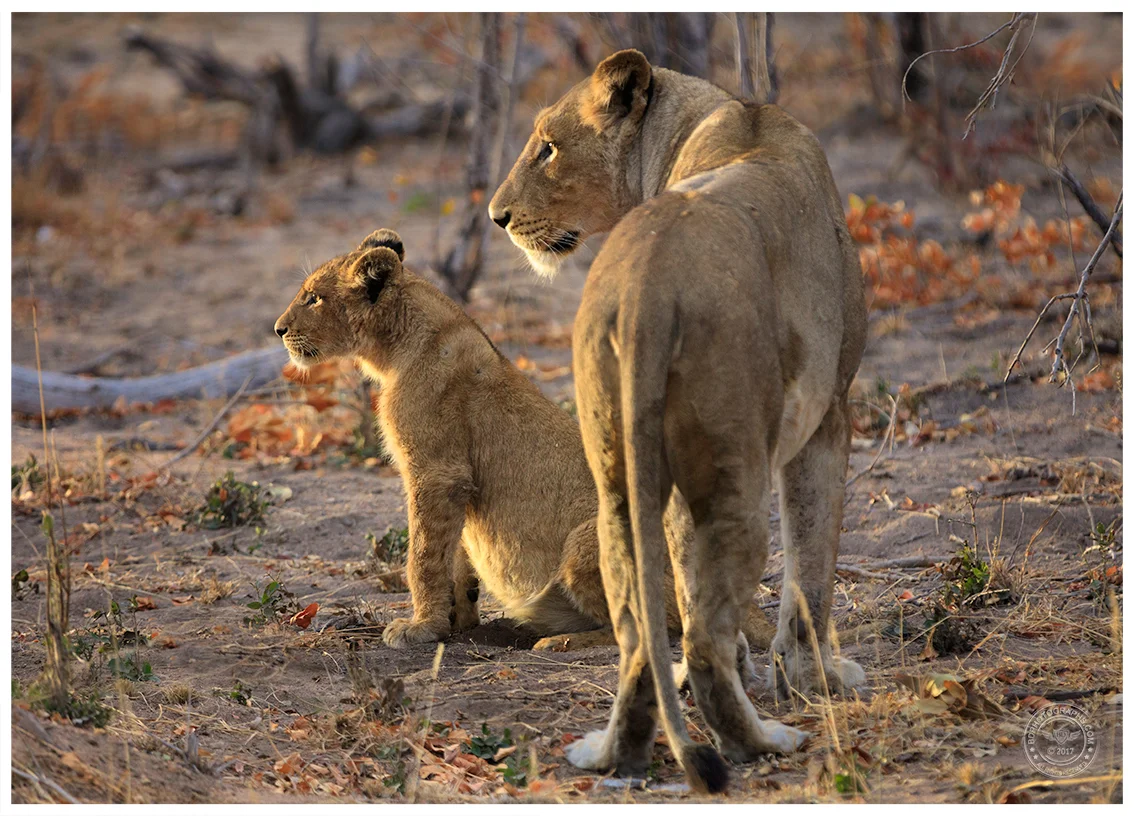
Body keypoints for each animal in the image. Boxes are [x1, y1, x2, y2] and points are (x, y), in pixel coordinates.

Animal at [273, 229, 775, 657]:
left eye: (314, 297)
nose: (278, 329)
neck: (397, 346)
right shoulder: (454, 480)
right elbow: (455, 552)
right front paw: (456, 618)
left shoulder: (436, 470)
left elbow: (424, 556)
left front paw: (420, 627)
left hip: (589, 543)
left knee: (656, 627)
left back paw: (559, 642)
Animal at [490, 50, 868, 793]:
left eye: (548, 146)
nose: (497, 216)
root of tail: (647, 282)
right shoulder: (827, 421)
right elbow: (811, 574)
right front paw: (818, 681)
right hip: (734, 480)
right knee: (700, 641)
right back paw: (761, 742)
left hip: (616, 490)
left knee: (643, 636)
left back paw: (613, 754)